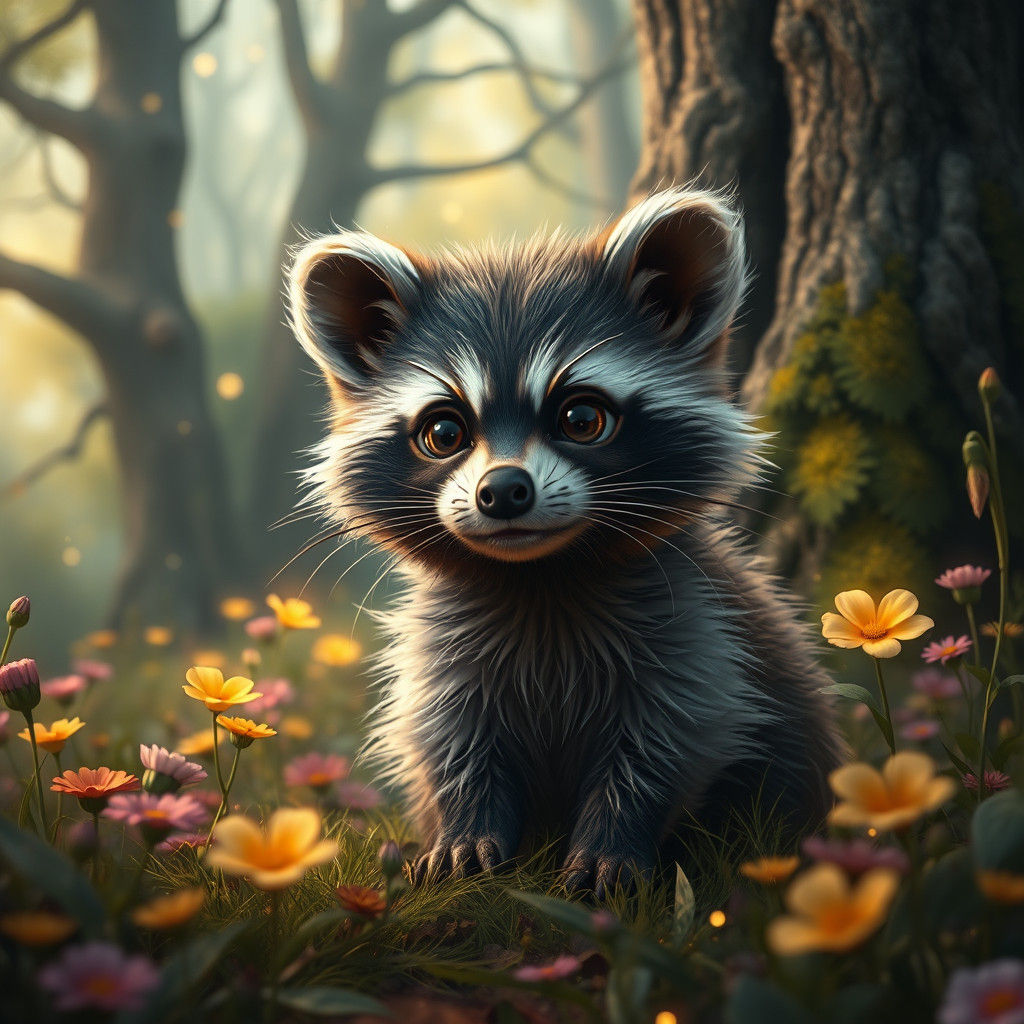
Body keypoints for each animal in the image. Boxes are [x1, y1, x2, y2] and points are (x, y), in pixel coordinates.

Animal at [287, 188, 843, 894]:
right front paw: (465, 834)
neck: (541, 573)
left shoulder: (695, 629)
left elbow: (676, 735)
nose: (503, 490)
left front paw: (613, 844)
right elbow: (448, 738)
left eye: (581, 418)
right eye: (444, 432)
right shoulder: (443, 651)